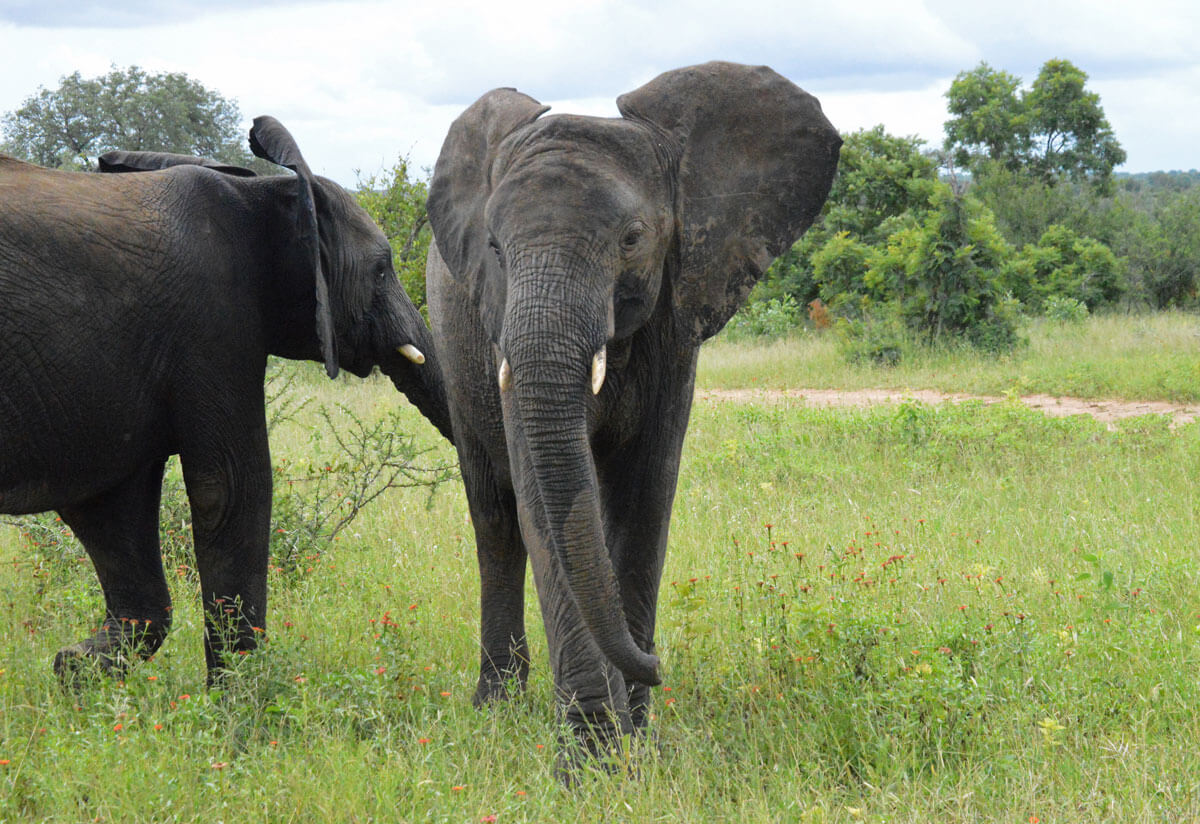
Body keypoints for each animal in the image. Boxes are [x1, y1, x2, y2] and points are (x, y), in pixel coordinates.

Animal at [0, 116, 452, 682]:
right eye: (384, 269)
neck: (261, 193)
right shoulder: (213, 322)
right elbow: (232, 487)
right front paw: (238, 695)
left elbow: (114, 507)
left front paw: (74, 670)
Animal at [424, 61, 840, 760]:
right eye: (496, 248)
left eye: (632, 239)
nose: (657, 665)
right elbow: (543, 507)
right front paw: (594, 759)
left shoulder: (676, 319)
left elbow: (646, 496)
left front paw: (636, 734)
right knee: (495, 519)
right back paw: (496, 707)